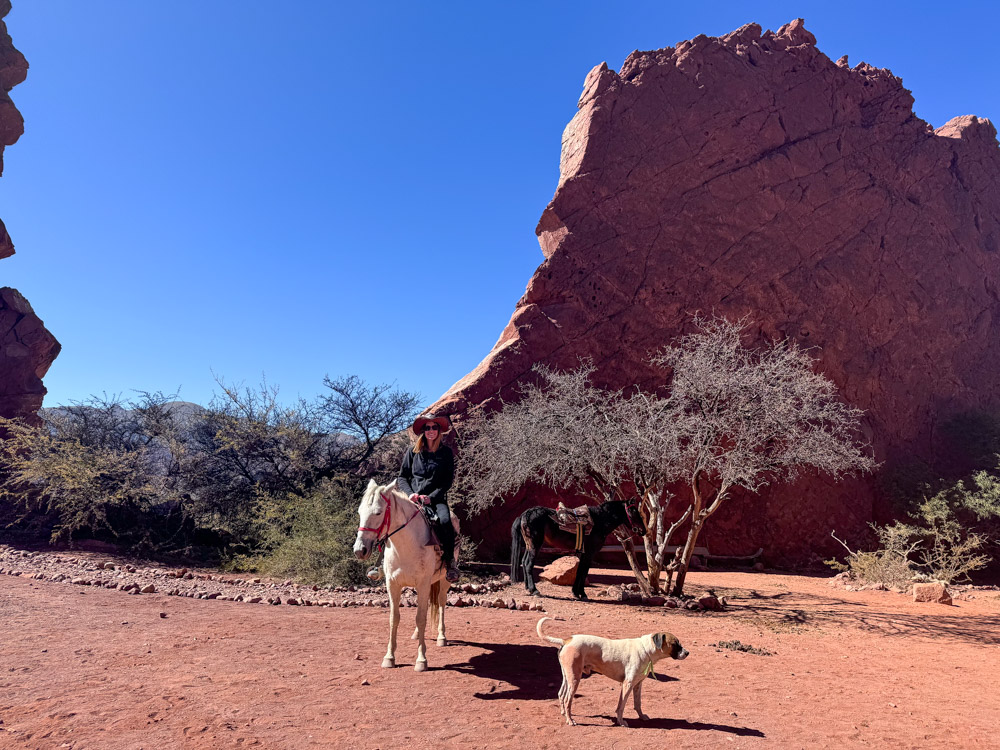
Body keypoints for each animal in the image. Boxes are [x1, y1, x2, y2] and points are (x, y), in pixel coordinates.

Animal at [354, 478, 458, 672]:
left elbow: (421, 618)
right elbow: (394, 618)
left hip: (443, 581)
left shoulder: (423, 584)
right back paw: (417, 634)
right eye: (360, 512)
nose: (359, 550)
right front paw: (389, 657)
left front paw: (421, 660)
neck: (406, 544)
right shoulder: (393, 585)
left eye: (378, 512)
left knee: (441, 603)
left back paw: (441, 637)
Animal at [512, 500, 644, 604]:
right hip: (535, 545)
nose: (643, 530)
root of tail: (524, 515)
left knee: (524, 561)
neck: (599, 521)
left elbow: (580, 571)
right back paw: (534, 590)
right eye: (633, 511)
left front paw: (576, 592)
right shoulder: (589, 553)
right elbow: (584, 572)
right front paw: (582, 594)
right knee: (528, 564)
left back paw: (527, 588)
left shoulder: (583, 553)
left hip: (529, 545)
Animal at [540, 616, 688, 728]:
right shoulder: (627, 684)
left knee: (561, 694)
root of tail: (567, 640)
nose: (687, 653)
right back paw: (570, 720)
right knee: (567, 700)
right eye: (675, 644)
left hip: (568, 677)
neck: (646, 649)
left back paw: (564, 714)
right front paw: (621, 722)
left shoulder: (638, 684)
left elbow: (637, 704)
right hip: (575, 679)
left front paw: (641, 716)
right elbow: (621, 706)